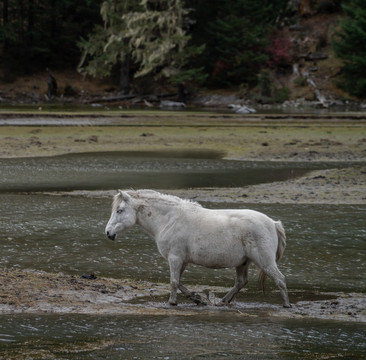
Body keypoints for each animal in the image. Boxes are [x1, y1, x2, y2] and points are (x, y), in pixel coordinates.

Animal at [105, 190, 292, 308]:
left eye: (120, 210)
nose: (108, 233)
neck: (170, 219)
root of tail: (273, 223)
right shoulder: (182, 261)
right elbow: (179, 282)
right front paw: (197, 299)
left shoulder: (175, 258)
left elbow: (174, 282)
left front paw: (172, 302)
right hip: (243, 263)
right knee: (240, 282)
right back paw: (223, 301)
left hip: (264, 261)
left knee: (280, 280)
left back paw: (286, 305)